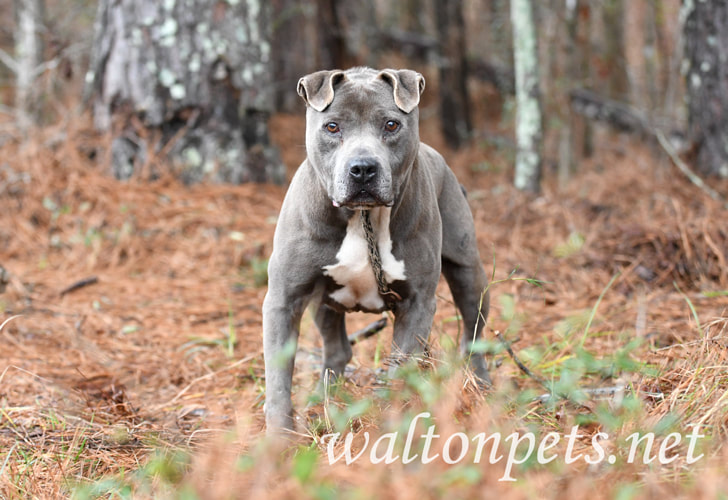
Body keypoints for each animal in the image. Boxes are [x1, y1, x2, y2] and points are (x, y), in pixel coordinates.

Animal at [262, 67, 490, 434]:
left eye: (391, 125)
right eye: (332, 127)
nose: (363, 168)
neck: (364, 217)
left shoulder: (418, 304)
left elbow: (401, 371)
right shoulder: (284, 299)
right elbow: (279, 379)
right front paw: (279, 438)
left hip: (469, 274)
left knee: (473, 337)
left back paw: (482, 386)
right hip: (323, 300)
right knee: (337, 350)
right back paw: (324, 402)